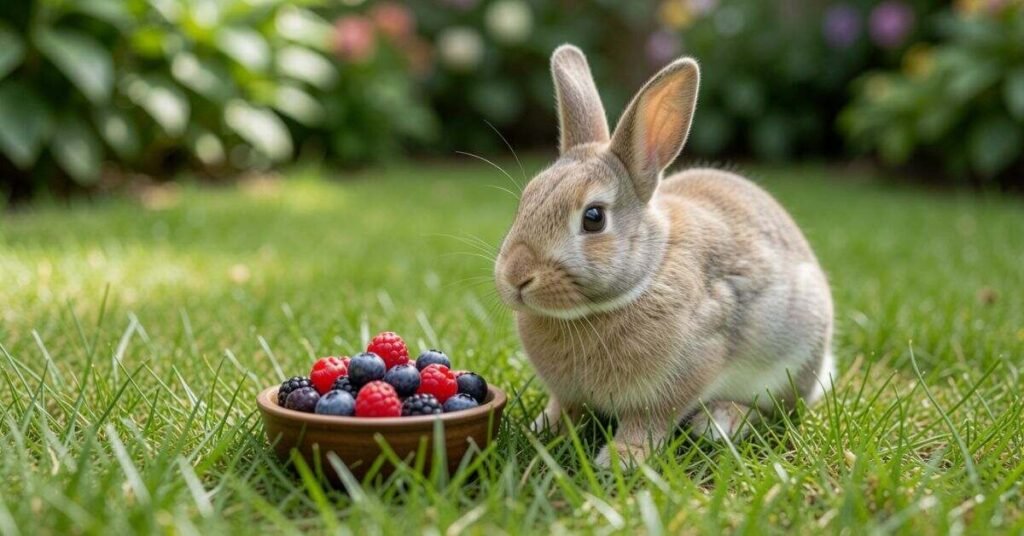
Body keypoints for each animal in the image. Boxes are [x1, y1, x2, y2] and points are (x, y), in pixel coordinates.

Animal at [493, 44, 836, 468]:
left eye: (594, 218)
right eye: (526, 200)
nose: (516, 276)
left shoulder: (683, 375)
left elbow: (650, 419)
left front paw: (624, 458)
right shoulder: (567, 394)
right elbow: (563, 408)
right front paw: (542, 430)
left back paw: (720, 421)